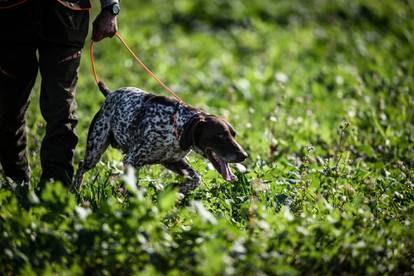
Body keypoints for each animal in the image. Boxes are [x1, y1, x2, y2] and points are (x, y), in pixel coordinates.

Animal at [71, 82, 247, 194]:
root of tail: (110, 95)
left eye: (234, 135)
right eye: (220, 135)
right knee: (81, 165)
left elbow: (196, 179)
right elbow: (132, 187)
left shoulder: (171, 161)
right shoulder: (131, 160)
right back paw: (74, 191)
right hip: (95, 151)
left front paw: (177, 190)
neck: (177, 126)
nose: (244, 156)